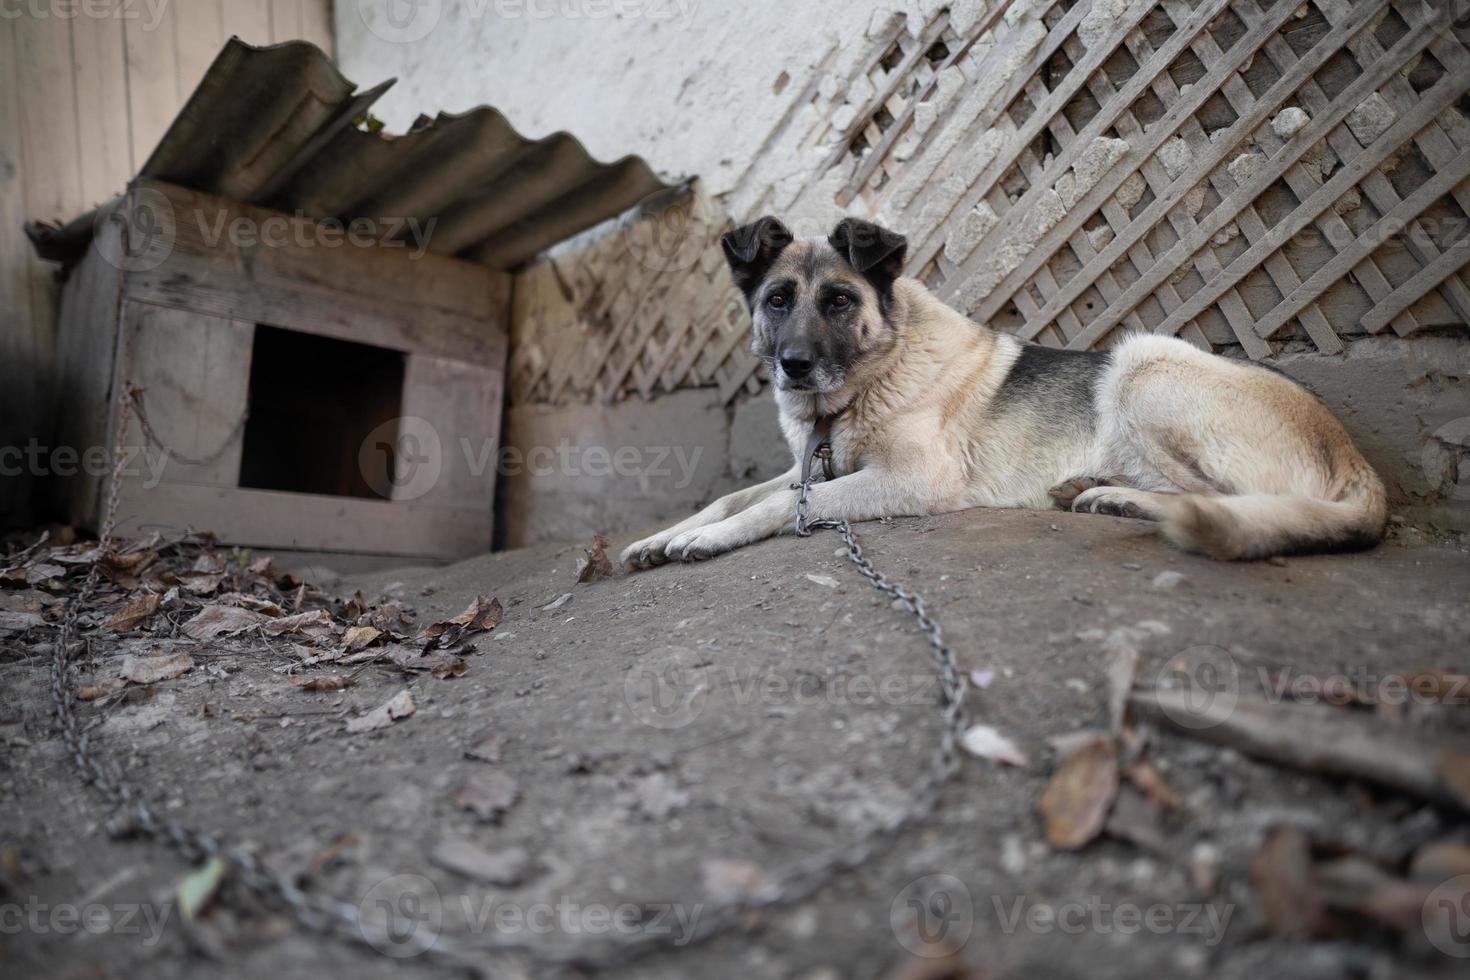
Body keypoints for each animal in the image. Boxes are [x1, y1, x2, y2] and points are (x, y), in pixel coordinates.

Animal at [623, 214, 1387, 567]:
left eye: (839, 301)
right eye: (778, 299)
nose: (795, 365)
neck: (874, 376)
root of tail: (1358, 461)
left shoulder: (913, 480)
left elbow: (776, 505)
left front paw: (707, 539)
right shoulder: (813, 465)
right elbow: (734, 494)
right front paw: (662, 536)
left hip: (1144, 361)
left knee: (1226, 502)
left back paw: (1119, 499)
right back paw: (1096, 492)